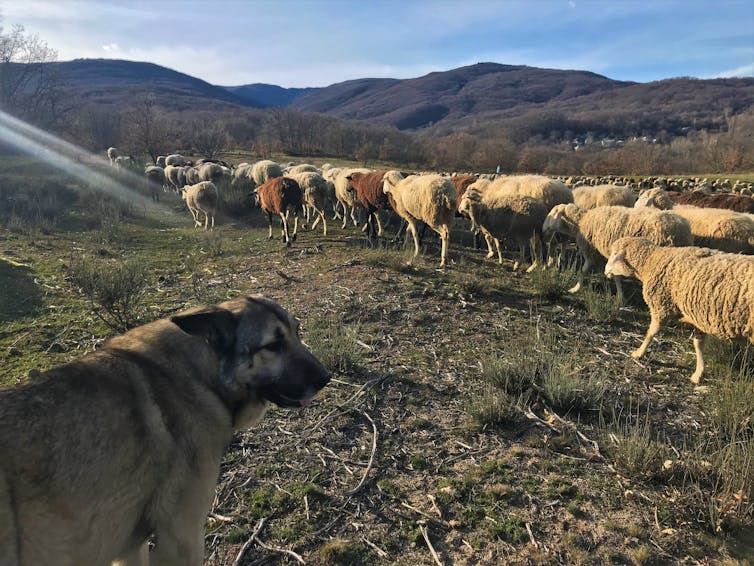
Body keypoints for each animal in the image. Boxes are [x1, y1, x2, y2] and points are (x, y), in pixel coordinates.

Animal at [0, 298, 328, 566]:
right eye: (273, 345)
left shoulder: (131, 546)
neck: (201, 375)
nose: (326, 377)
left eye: (297, 331)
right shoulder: (181, 538)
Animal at [540, 204, 692, 296]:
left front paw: (575, 288)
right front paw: (619, 296)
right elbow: (615, 277)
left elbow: (583, 270)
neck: (581, 221)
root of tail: (682, 228)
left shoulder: (592, 251)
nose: (543, 229)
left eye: (554, 213)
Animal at [604, 237, 752, 384]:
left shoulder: (661, 306)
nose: (605, 272)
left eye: (615, 253)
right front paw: (698, 374)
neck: (651, 261)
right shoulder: (698, 316)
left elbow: (651, 333)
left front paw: (638, 353)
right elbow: (698, 344)